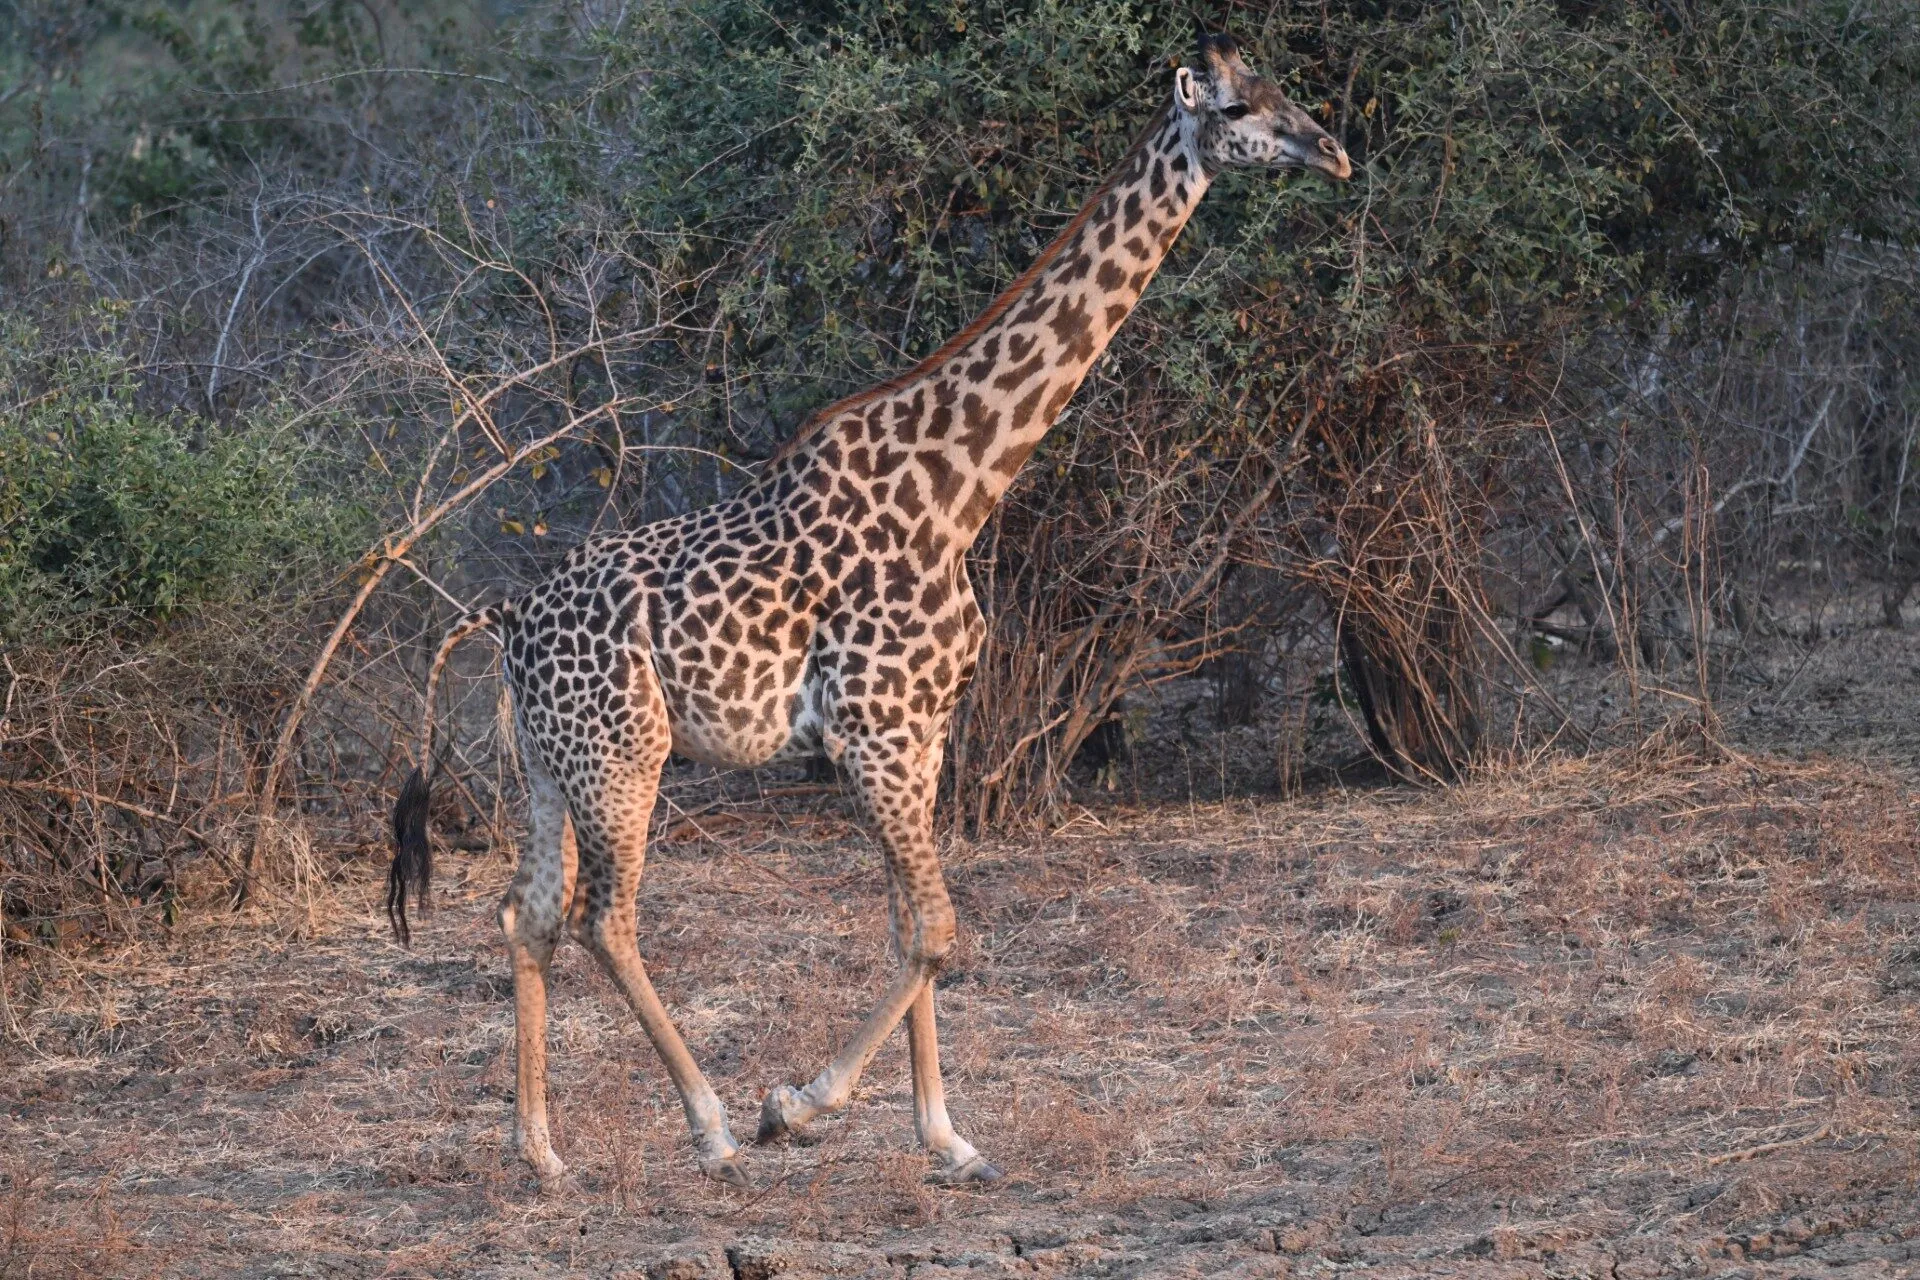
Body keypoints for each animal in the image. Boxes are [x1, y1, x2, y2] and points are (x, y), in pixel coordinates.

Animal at [388, 31, 1350, 1191]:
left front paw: (944, 1135)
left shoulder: (922, 731)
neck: (962, 487)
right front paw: (797, 1106)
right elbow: (936, 928)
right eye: (1243, 107)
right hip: (624, 754)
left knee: (525, 913)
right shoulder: (874, 734)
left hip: (545, 758)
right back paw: (711, 1124)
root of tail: (505, 616)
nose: (1335, 150)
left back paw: (540, 1153)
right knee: (601, 918)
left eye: (1288, 88)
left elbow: (907, 924)